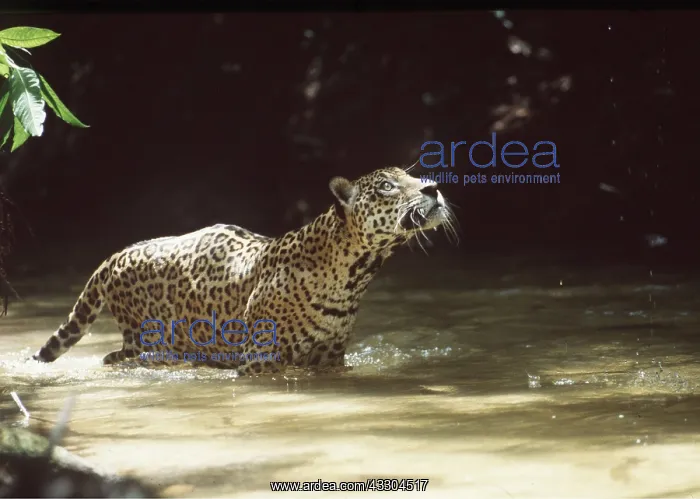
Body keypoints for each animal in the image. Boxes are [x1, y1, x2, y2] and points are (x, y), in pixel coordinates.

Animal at [32, 166, 457, 376]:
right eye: (387, 186)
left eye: (412, 177)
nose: (433, 187)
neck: (354, 275)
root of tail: (114, 256)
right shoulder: (260, 358)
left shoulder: (331, 359)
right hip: (143, 338)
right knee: (114, 357)